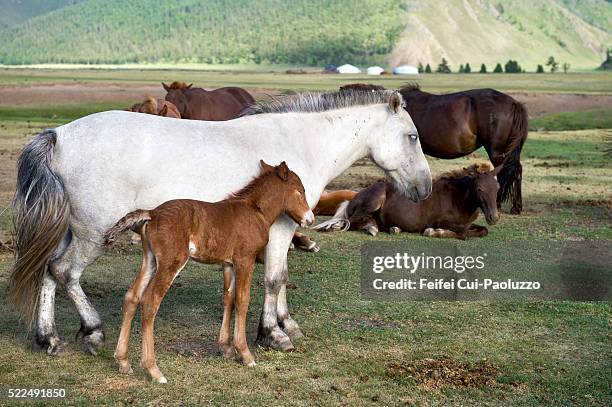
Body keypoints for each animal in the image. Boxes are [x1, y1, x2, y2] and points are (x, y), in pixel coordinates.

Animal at [9, 89, 430, 356]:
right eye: (412, 136)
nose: (425, 188)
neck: (301, 145)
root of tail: (59, 134)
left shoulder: (284, 231)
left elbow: (282, 276)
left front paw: (286, 323)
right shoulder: (280, 229)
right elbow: (274, 278)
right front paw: (273, 335)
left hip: (72, 232)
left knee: (48, 270)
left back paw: (49, 339)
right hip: (93, 235)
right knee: (65, 272)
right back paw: (93, 331)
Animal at [103, 161, 314, 384]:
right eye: (300, 191)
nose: (310, 218)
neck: (255, 210)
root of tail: (152, 213)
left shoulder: (228, 264)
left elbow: (229, 298)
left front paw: (226, 349)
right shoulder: (245, 260)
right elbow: (242, 300)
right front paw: (245, 354)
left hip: (150, 260)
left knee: (132, 297)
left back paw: (123, 361)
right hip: (171, 262)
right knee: (150, 302)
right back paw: (154, 370)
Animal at [316, 163, 502, 239]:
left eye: (498, 187)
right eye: (480, 189)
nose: (494, 217)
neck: (457, 199)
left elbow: (482, 230)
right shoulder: (438, 221)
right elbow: (463, 234)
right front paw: (434, 232)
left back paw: (390, 228)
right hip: (374, 201)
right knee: (353, 221)